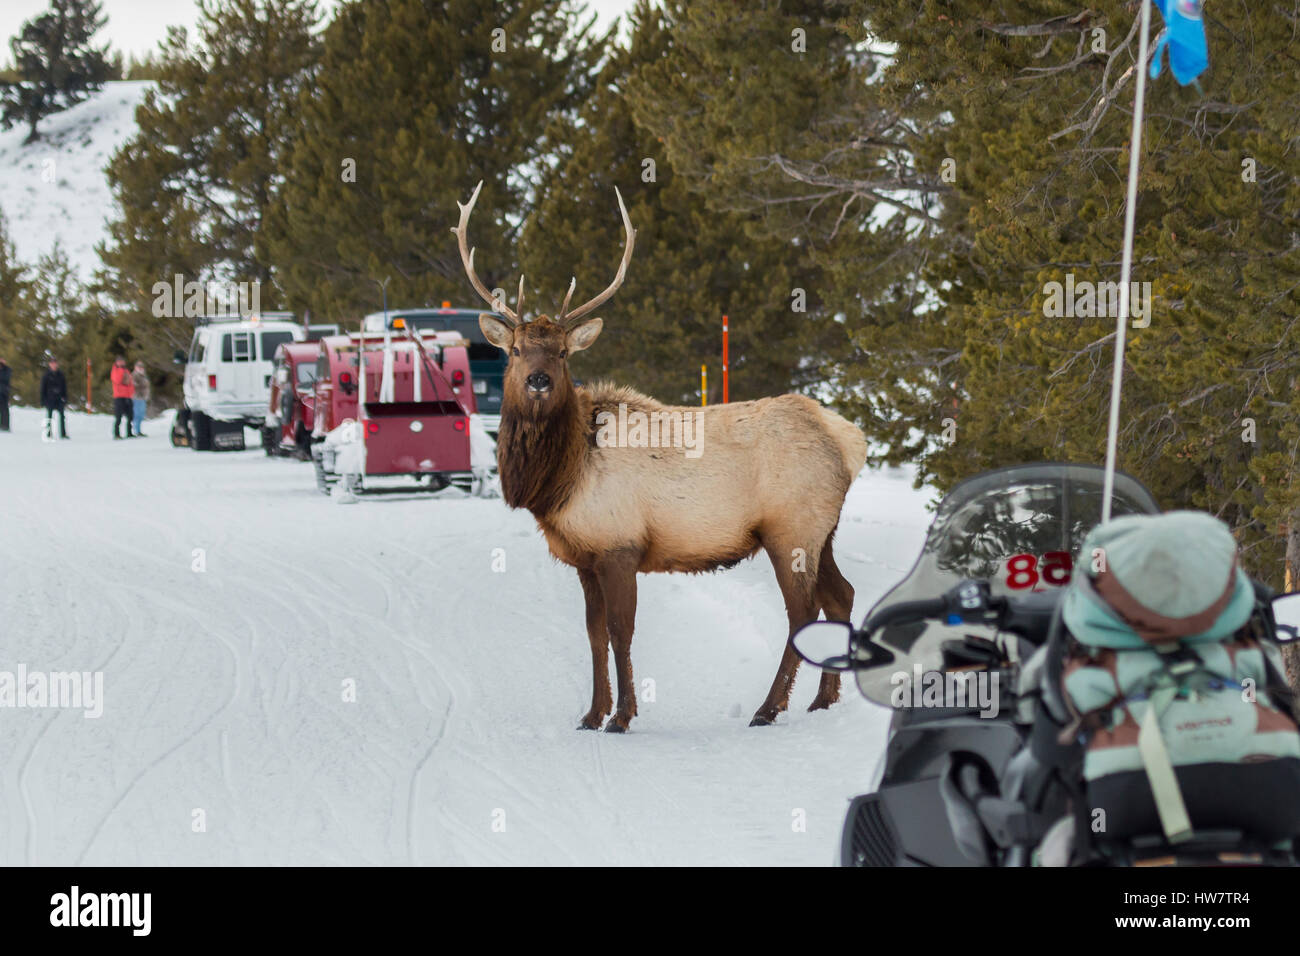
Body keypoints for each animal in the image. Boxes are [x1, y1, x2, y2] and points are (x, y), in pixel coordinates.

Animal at [452, 180, 868, 733]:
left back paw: (768, 707)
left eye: (562, 352)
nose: (538, 380)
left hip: (792, 528)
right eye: (516, 349)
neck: (561, 478)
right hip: (824, 530)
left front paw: (622, 716)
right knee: (841, 594)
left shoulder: (620, 545)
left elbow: (620, 631)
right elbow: (593, 633)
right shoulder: (585, 557)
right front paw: (591, 713)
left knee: (803, 611)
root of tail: (848, 440)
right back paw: (823, 700)